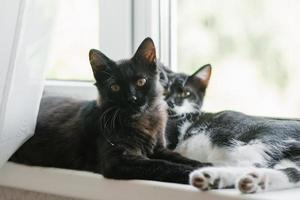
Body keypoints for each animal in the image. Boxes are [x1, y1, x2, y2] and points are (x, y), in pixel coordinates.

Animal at [10, 37, 211, 184]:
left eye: (141, 81)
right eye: (115, 87)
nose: (132, 99)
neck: (141, 121)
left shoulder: (159, 149)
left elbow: (178, 157)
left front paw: (205, 165)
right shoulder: (118, 160)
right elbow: (161, 165)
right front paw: (193, 173)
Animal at [161, 65, 300, 194]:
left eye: (185, 93)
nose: (170, 103)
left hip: (256, 143)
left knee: (250, 165)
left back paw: (211, 176)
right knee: (290, 171)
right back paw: (251, 181)